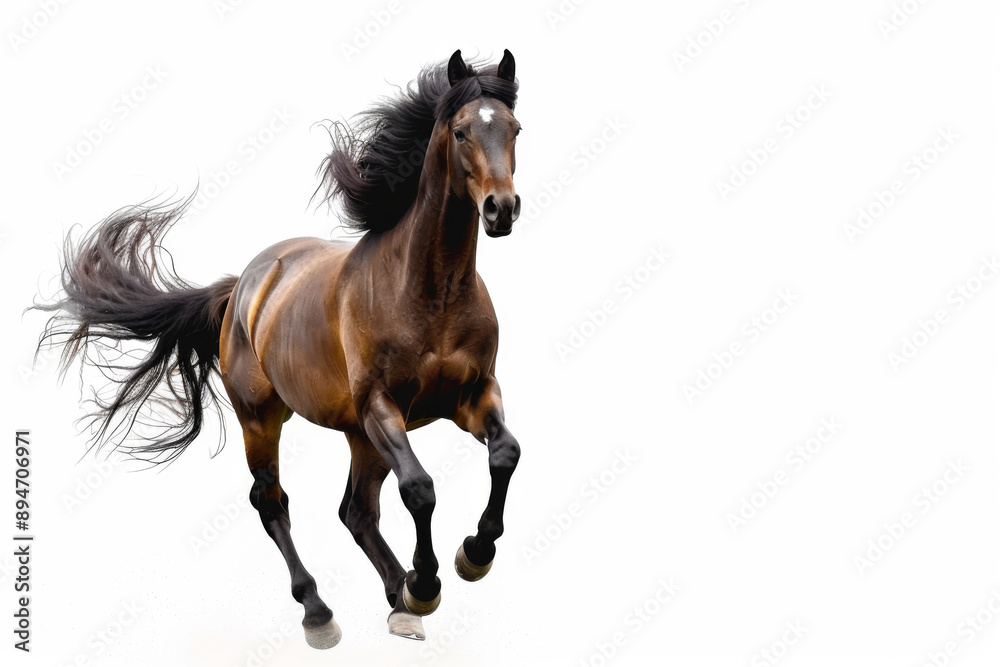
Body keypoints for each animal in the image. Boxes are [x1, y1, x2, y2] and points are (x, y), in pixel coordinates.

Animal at [36, 49, 523, 649]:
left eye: (515, 128)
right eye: (460, 131)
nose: (502, 210)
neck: (430, 293)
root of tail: (243, 285)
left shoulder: (472, 394)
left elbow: (505, 453)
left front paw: (473, 555)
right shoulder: (383, 406)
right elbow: (420, 488)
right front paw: (428, 582)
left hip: (359, 435)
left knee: (356, 512)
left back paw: (398, 601)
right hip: (265, 420)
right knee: (273, 504)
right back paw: (322, 611)